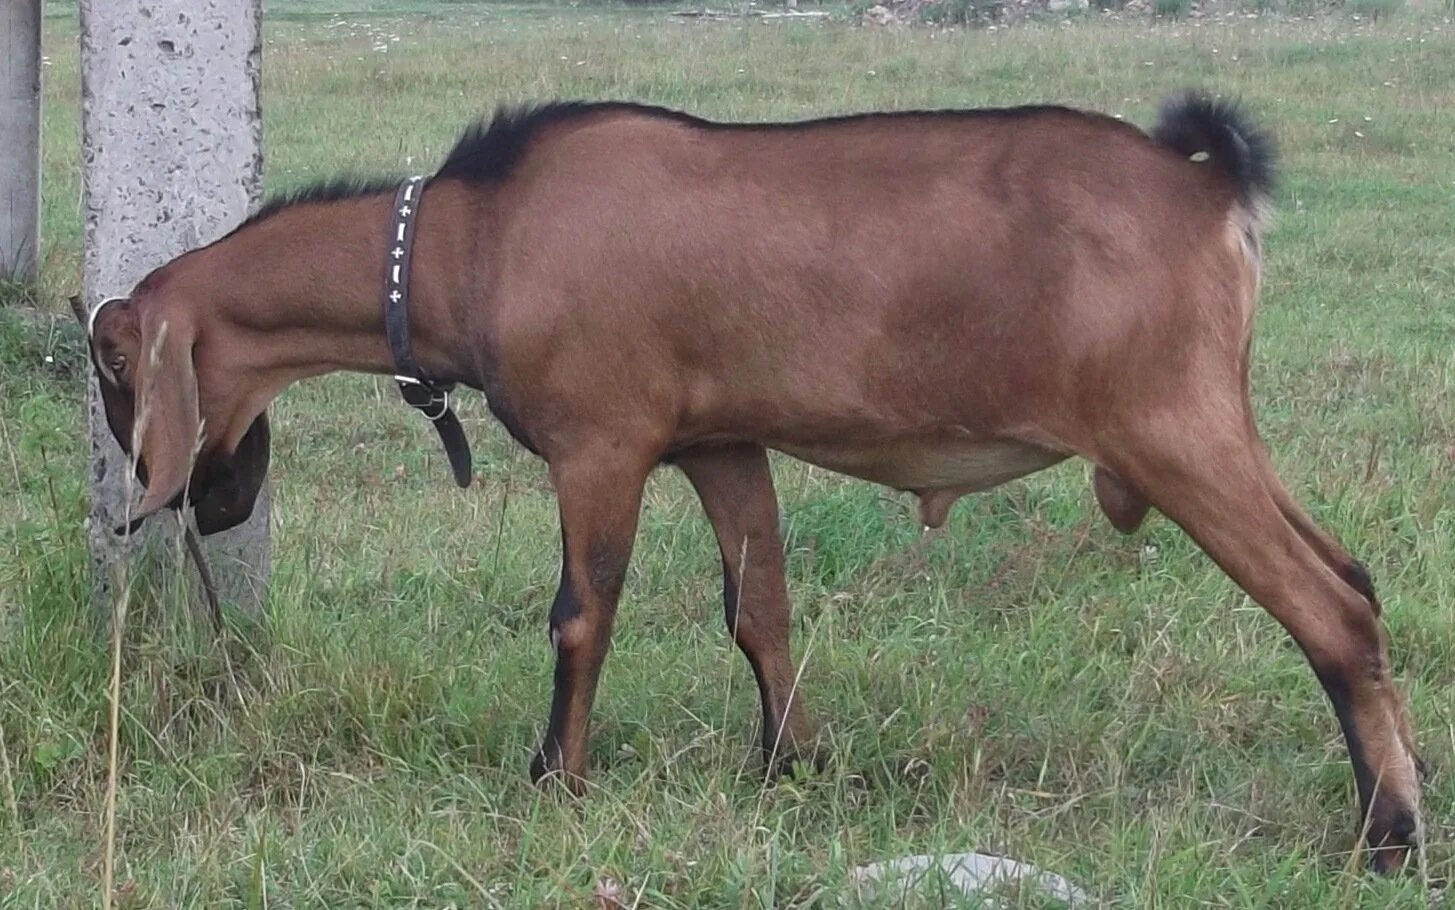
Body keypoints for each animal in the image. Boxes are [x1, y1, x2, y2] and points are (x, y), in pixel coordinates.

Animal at [82, 96, 1420, 867]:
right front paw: (790, 766)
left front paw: (554, 779)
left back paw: (1389, 835)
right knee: (1356, 576)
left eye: (111, 363)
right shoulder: (720, 444)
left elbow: (582, 611)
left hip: (1167, 424)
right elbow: (757, 606)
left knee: (1329, 609)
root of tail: (1207, 185)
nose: (203, 501)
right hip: (1211, 419)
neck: (472, 239)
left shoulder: (604, 440)